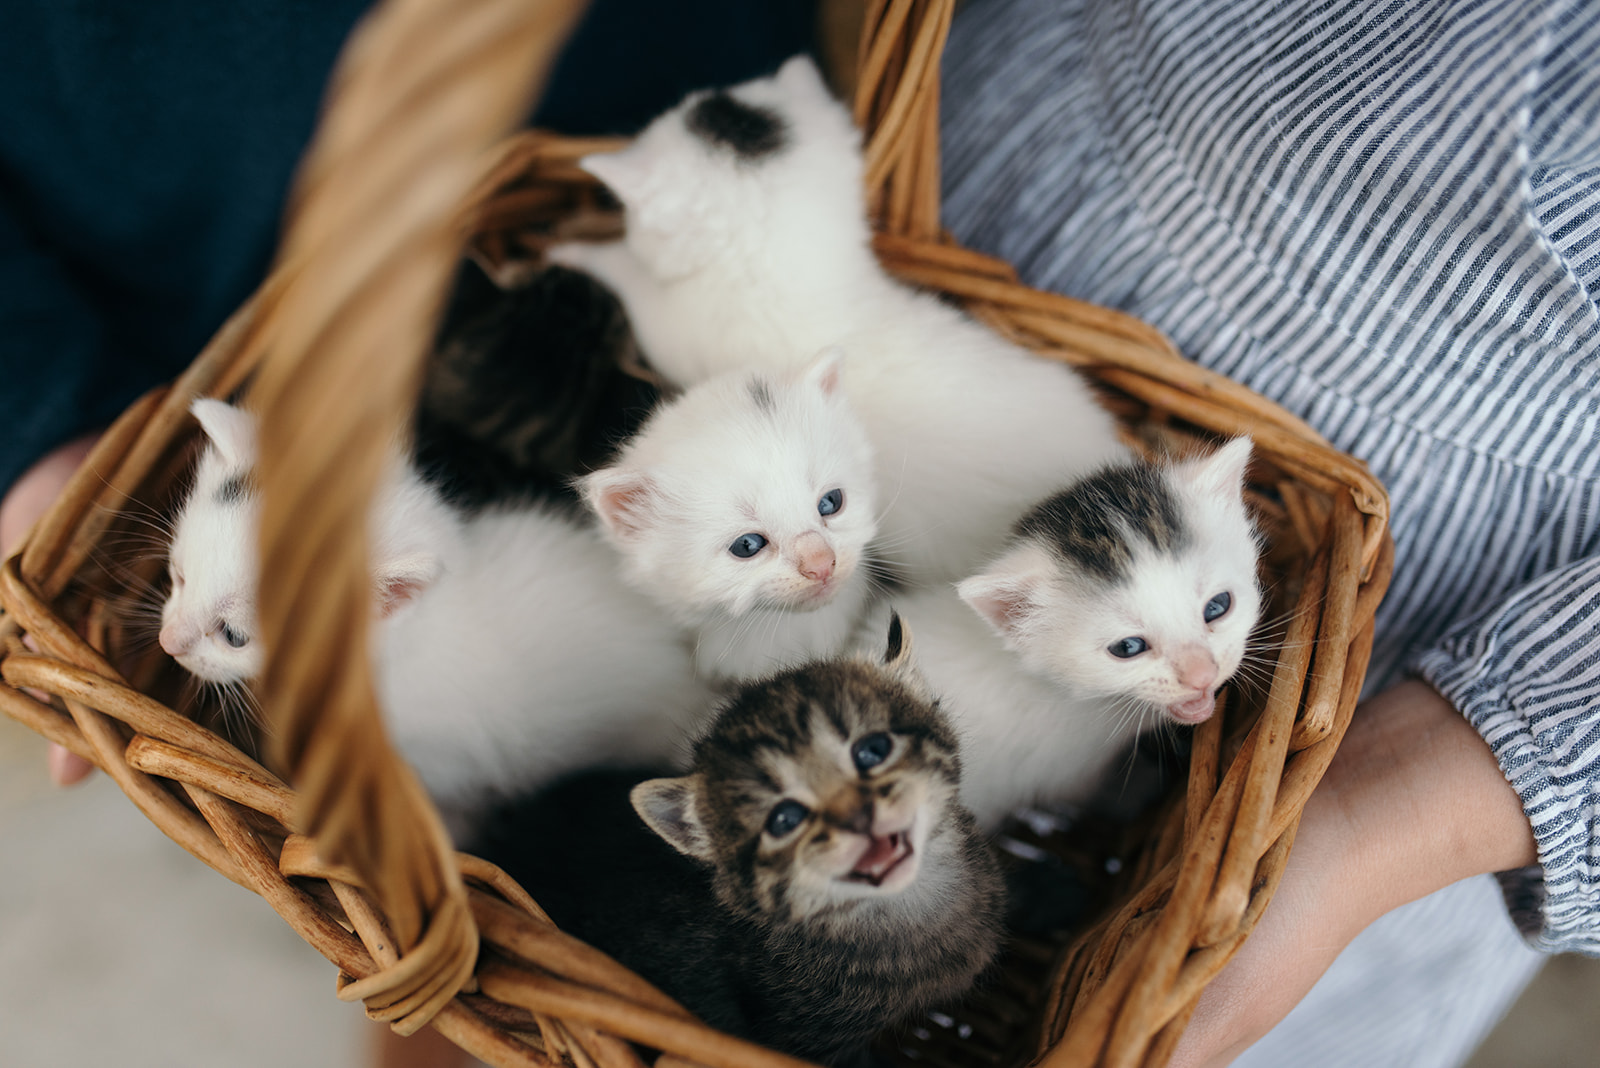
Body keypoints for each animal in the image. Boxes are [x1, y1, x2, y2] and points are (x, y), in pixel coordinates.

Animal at [876, 438, 1260, 831]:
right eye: (1128, 647)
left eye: (1218, 606)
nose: (1203, 674)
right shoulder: (1070, 774)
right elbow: (1097, 794)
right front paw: (1139, 792)